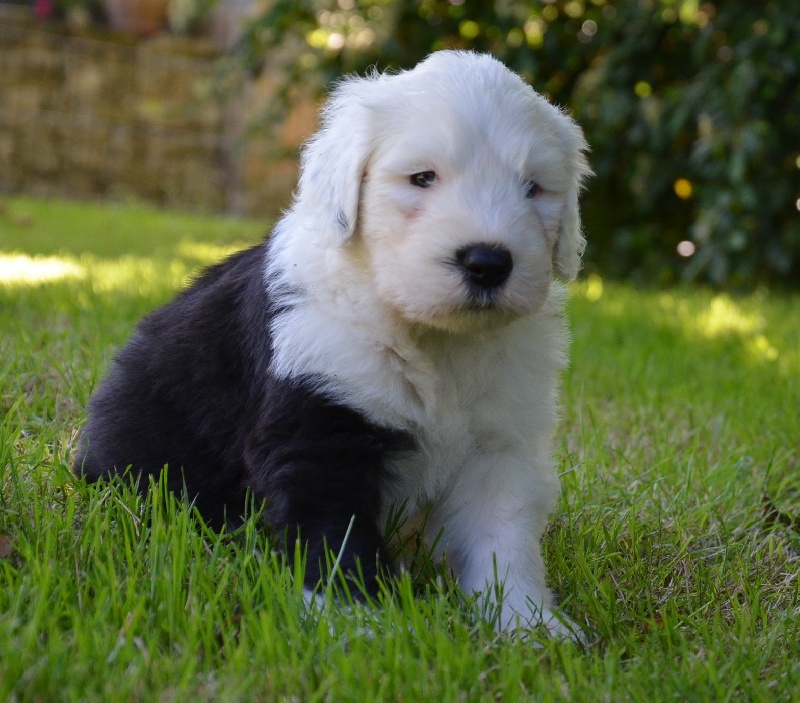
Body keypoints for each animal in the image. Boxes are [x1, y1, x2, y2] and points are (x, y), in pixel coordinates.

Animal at [74, 51, 590, 638]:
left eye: (533, 188)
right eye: (422, 178)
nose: (488, 262)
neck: (434, 344)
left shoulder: (498, 446)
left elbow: (502, 539)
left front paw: (529, 627)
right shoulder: (319, 423)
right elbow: (334, 533)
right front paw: (357, 623)